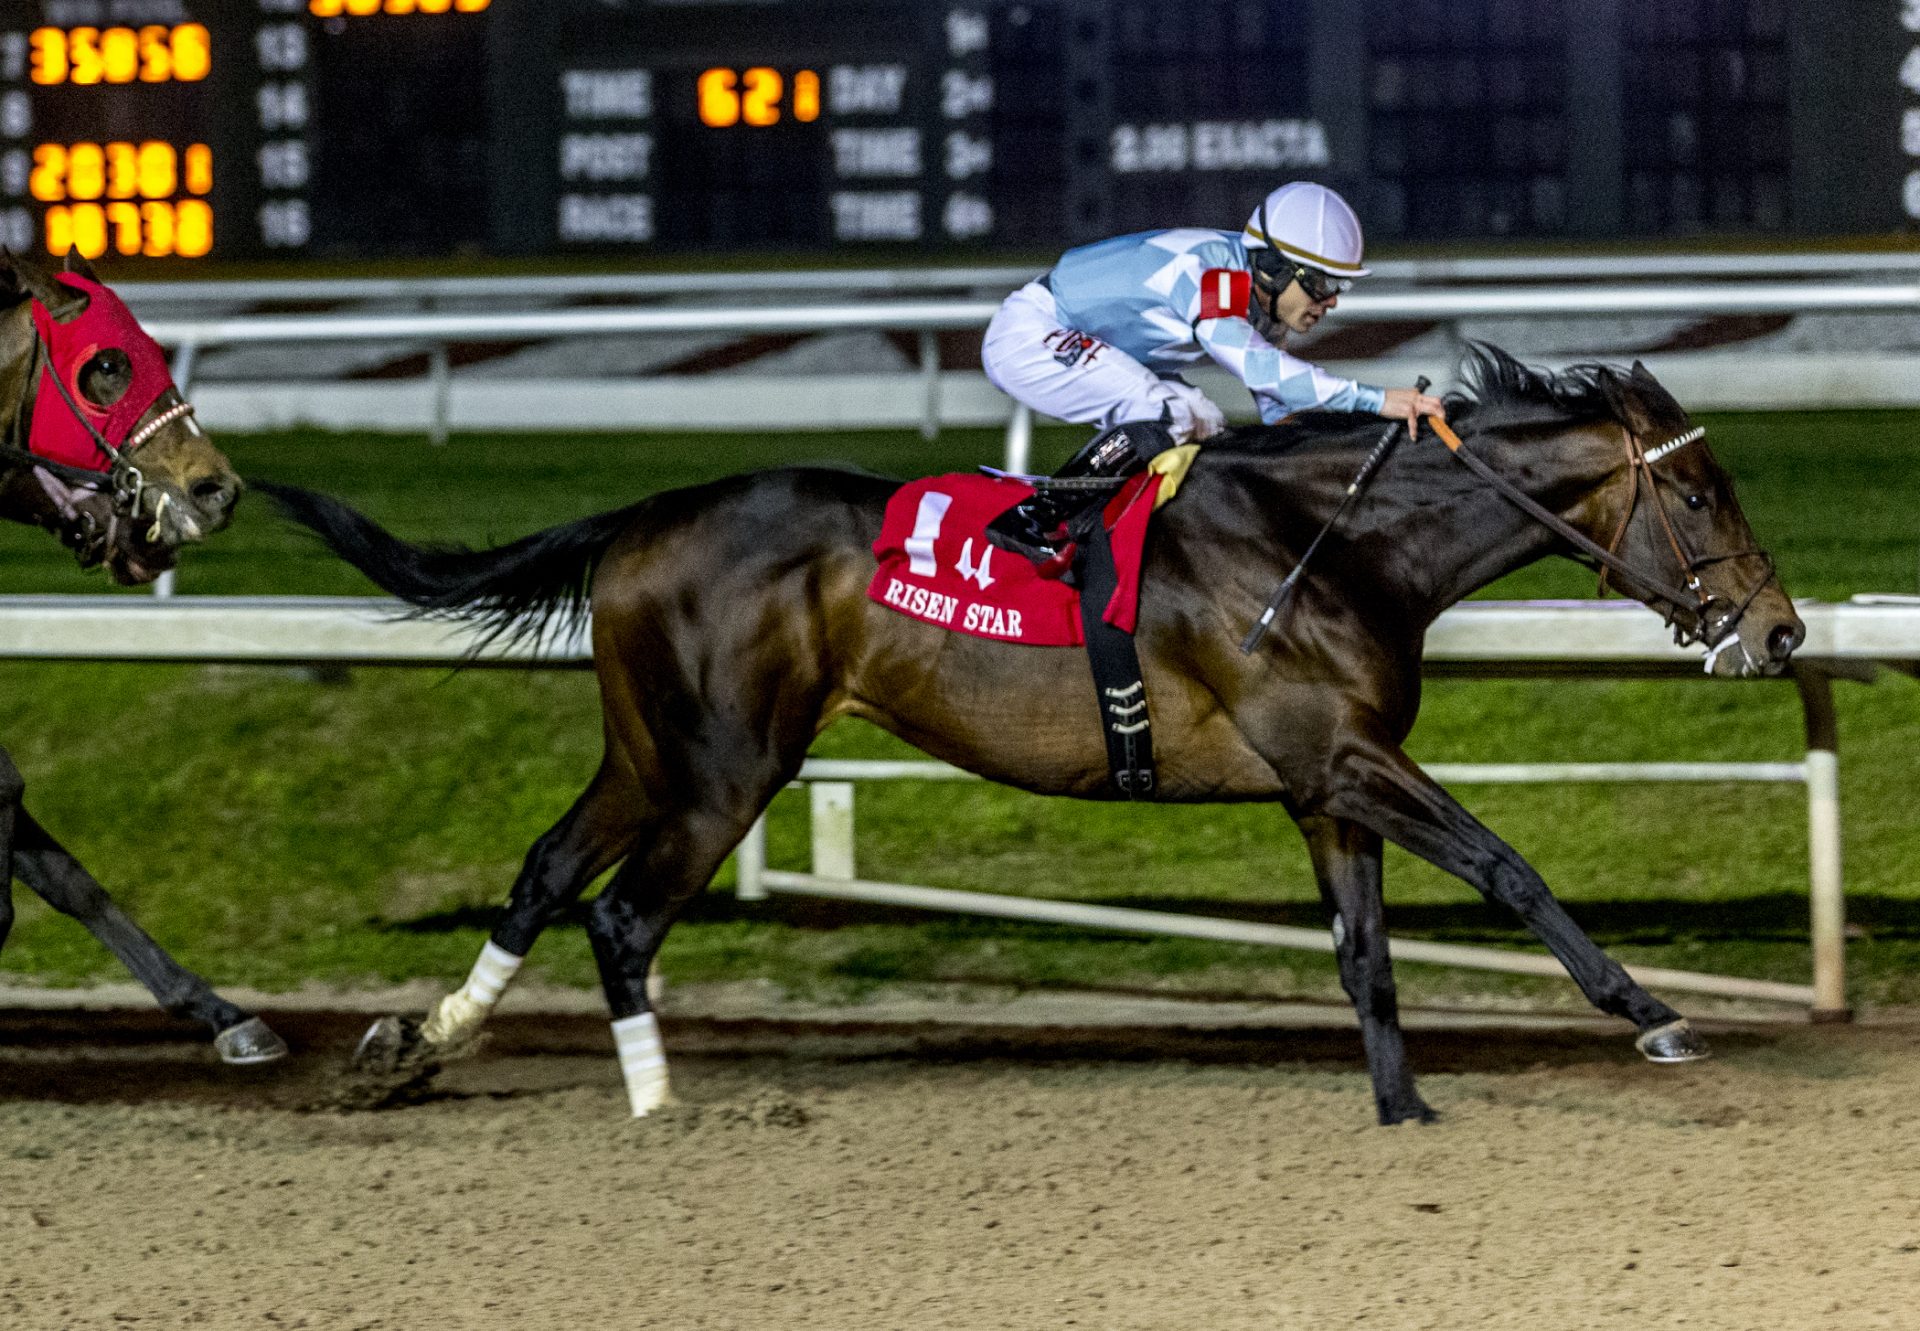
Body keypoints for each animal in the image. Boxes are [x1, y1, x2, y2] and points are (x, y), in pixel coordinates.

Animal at [255, 341, 1797, 1121]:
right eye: (1701, 496)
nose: (1780, 632)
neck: (1334, 543)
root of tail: (643, 514)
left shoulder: (1321, 784)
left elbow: (1366, 953)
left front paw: (1404, 1109)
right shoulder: (1342, 756)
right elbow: (1503, 863)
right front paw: (1654, 1014)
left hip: (653, 748)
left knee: (540, 874)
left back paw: (416, 1044)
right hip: (728, 763)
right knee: (623, 916)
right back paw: (656, 1100)